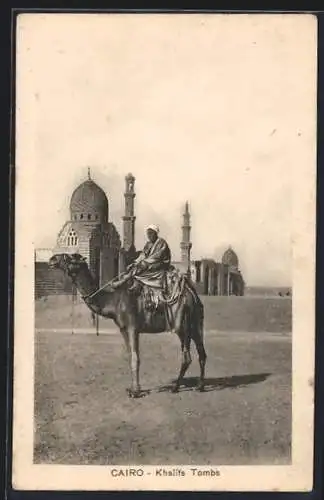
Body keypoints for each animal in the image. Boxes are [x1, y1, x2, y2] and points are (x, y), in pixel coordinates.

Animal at [48, 254, 206, 398]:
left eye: (70, 258)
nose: (52, 259)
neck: (112, 301)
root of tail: (192, 295)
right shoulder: (123, 329)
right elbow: (130, 355)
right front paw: (132, 388)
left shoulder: (132, 328)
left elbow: (135, 358)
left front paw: (136, 391)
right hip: (195, 325)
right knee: (202, 353)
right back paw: (200, 386)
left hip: (182, 327)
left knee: (187, 357)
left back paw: (175, 387)